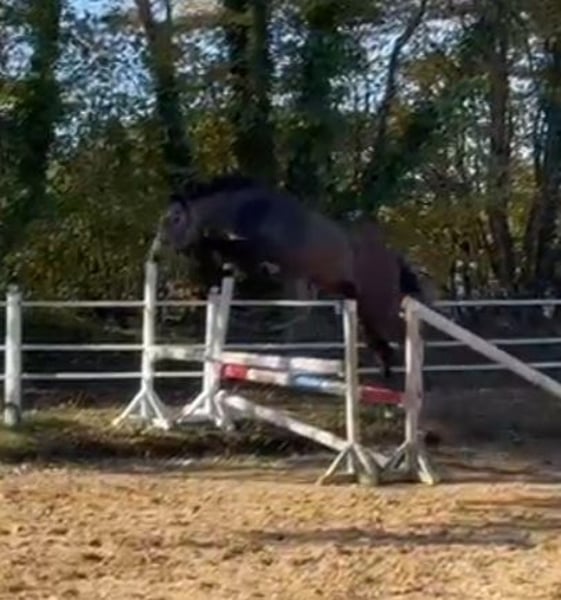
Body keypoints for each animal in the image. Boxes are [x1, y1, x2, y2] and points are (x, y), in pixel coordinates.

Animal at [155, 174, 431, 379]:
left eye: (176, 218)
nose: (157, 253)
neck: (255, 211)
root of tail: (392, 257)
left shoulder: (260, 254)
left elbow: (225, 250)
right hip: (361, 305)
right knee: (381, 343)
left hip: (377, 304)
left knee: (405, 334)